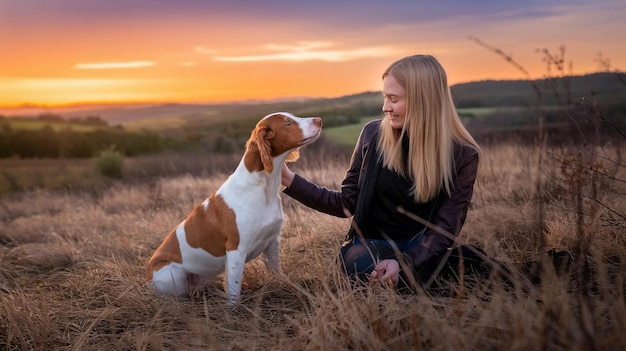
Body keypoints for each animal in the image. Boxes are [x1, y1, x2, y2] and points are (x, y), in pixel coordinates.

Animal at [147, 112, 322, 306]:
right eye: (288, 123)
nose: (319, 120)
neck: (262, 186)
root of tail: (147, 273)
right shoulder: (236, 249)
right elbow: (234, 291)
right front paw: (232, 311)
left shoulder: (272, 242)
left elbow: (278, 272)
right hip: (174, 275)